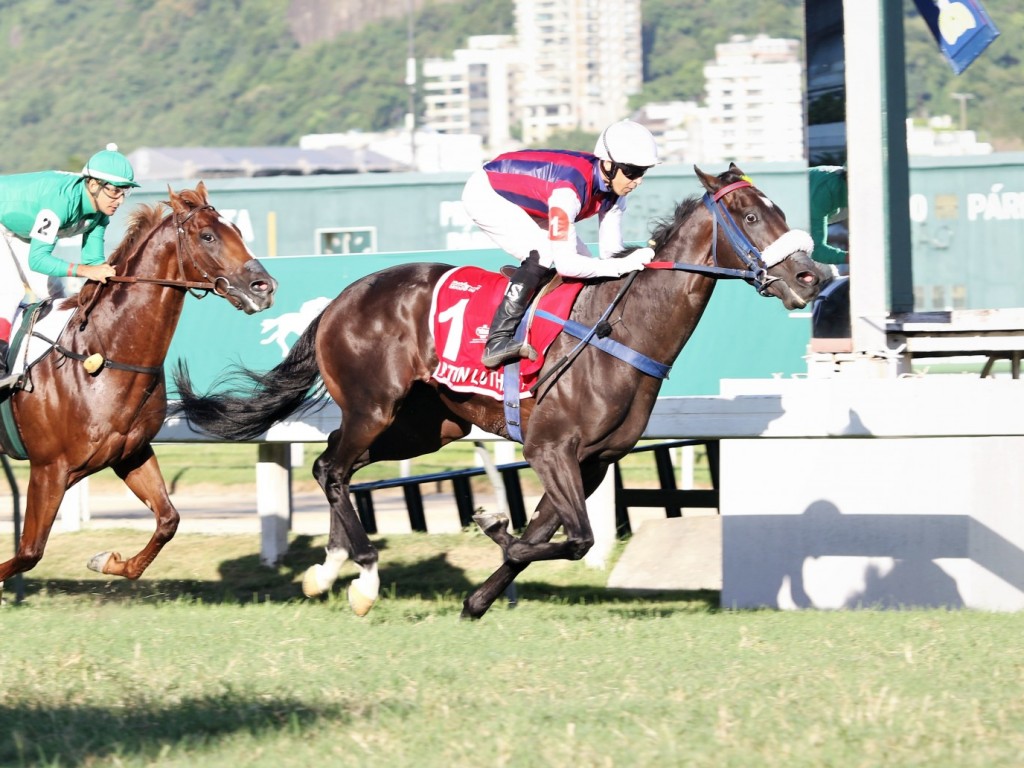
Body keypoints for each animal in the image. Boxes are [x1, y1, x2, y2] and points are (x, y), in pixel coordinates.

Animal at [0, 183, 276, 598]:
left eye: (240, 232)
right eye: (207, 236)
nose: (264, 288)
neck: (103, 354)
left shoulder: (130, 453)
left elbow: (168, 519)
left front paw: (106, 560)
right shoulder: (50, 469)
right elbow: (30, 551)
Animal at [174, 165, 831, 622]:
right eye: (750, 216)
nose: (813, 276)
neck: (621, 331)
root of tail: (339, 299)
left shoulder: (592, 461)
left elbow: (545, 539)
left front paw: (479, 594)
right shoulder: (551, 448)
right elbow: (575, 539)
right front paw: (492, 526)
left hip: (426, 426)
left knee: (333, 464)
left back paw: (327, 570)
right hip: (375, 406)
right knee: (333, 468)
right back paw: (363, 577)